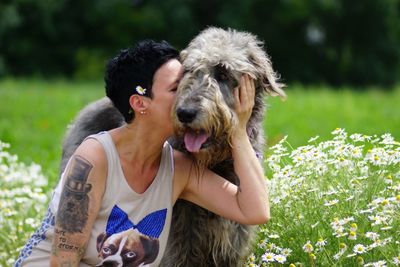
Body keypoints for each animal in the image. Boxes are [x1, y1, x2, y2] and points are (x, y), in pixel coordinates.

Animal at [58, 27, 284, 267]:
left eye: (223, 73)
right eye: (189, 71)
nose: (185, 113)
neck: (215, 163)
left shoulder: (232, 242)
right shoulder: (176, 243)